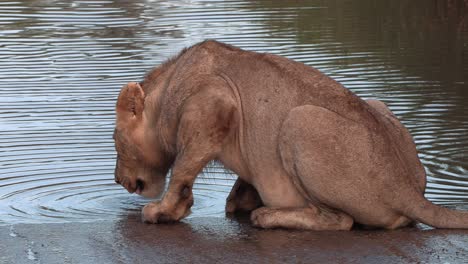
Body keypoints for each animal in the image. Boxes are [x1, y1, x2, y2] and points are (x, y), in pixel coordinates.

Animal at [113, 39, 468, 229]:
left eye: (116, 141)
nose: (117, 179)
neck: (168, 85)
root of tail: (407, 188)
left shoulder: (215, 104)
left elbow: (183, 167)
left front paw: (164, 211)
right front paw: (240, 197)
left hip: (299, 120)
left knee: (340, 220)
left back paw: (267, 216)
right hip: (374, 103)